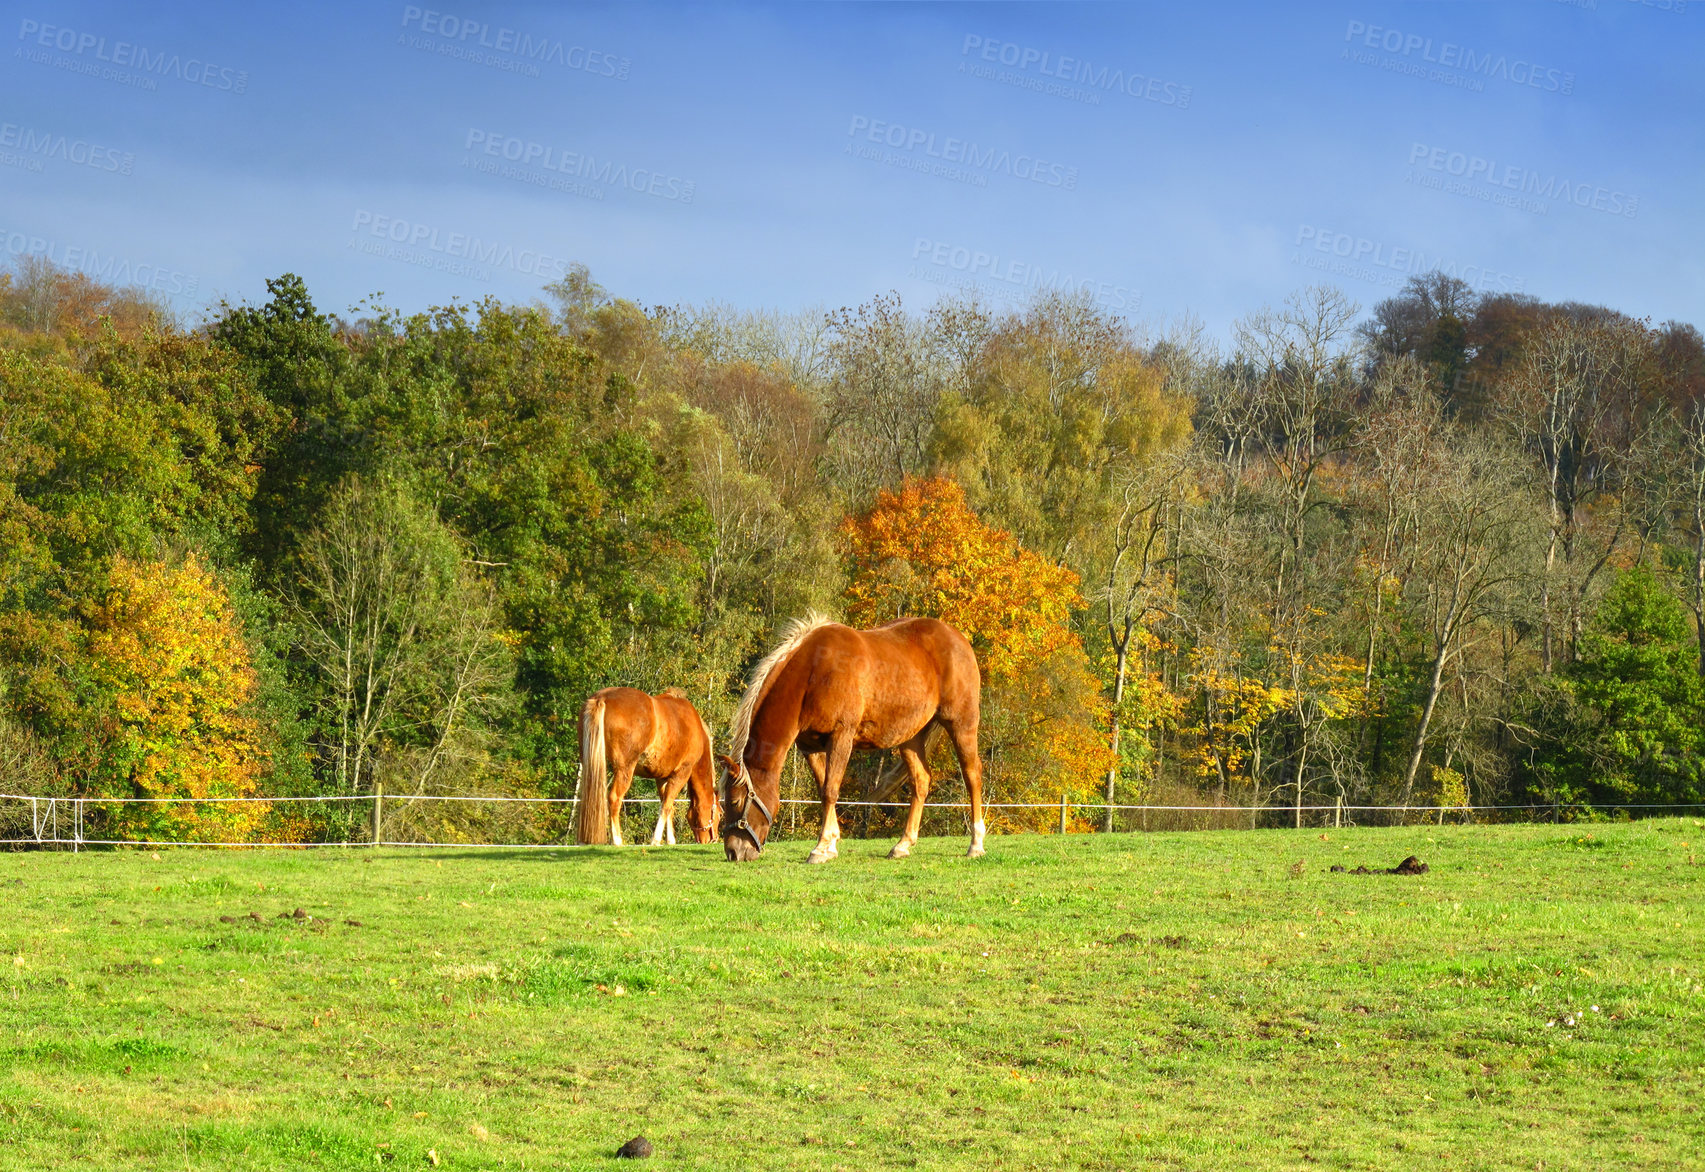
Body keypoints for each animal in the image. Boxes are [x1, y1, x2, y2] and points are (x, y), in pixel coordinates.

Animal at [576, 689, 716, 842]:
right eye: (720, 814)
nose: (713, 839)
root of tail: (602, 697)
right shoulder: (681, 773)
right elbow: (667, 805)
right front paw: (656, 840)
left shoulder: (661, 778)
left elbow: (667, 806)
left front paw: (670, 840)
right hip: (625, 769)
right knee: (614, 798)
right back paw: (617, 841)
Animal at [719, 617, 988, 866]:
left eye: (734, 800)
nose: (733, 852)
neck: (813, 671)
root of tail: (958, 638)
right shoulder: (810, 747)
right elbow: (823, 789)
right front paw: (831, 843)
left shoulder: (841, 737)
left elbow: (830, 790)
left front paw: (820, 848)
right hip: (911, 737)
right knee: (921, 782)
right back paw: (902, 845)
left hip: (962, 724)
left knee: (972, 775)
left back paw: (976, 844)